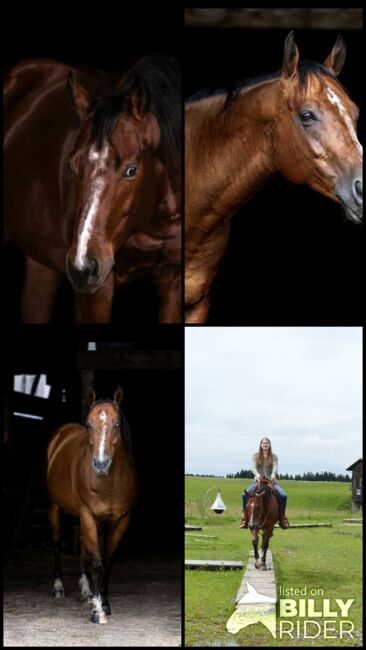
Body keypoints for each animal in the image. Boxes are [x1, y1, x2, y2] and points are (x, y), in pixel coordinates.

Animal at [46, 384, 137, 624]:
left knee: (81, 544)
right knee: (57, 541)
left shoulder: (121, 520)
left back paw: (86, 591)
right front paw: (98, 611)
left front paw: (103, 601)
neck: (109, 482)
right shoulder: (88, 515)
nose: (101, 464)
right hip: (56, 507)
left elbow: (108, 560)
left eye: (116, 424)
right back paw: (58, 587)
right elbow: (96, 562)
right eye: (89, 424)